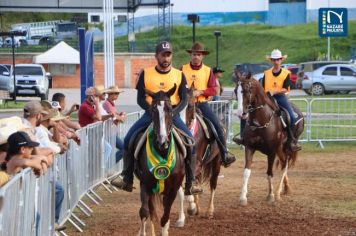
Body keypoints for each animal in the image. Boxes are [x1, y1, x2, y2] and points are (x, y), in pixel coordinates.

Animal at [135, 85, 185, 236]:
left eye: (170, 109)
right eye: (152, 110)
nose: (162, 142)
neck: (162, 152)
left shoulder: (173, 189)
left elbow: (165, 217)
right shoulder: (145, 184)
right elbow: (144, 212)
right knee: (150, 211)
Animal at [175, 84, 222, 227]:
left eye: (190, 106)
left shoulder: (196, 164)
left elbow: (190, 186)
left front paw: (191, 205)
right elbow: (182, 190)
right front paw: (185, 214)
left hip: (216, 163)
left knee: (213, 184)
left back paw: (209, 211)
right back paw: (197, 207)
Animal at [235, 74, 304, 205]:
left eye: (247, 90)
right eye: (236, 91)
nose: (240, 113)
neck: (261, 121)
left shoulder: (271, 151)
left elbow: (269, 173)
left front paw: (270, 195)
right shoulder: (249, 148)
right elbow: (246, 172)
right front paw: (242, 197)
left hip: (286, 148)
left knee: (285, 165)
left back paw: (277, 193)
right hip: (280, 149)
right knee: (283, 164)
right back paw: (285, 188)